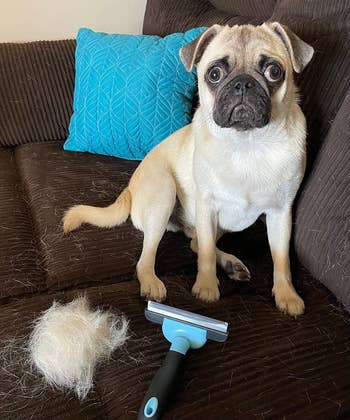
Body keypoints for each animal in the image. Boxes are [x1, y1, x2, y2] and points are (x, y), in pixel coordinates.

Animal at [63, 23, 314, 316]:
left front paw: (286, 294)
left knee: (195, 241)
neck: (247, 144)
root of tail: (129, 189)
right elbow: (206, 253)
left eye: (274, 71)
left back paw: (230, 264)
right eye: (214, 74)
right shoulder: (207, 205)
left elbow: (281, 259)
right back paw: (152, 282)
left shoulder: (280, 214)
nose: (242, 83)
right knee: (150, 257)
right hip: (164, 193)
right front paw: (206, 286)